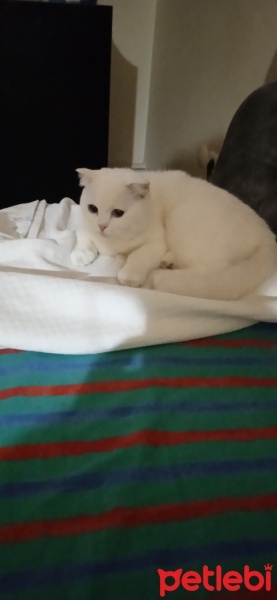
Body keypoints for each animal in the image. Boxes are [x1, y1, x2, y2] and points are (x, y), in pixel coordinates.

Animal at [70, 168, 276, 298]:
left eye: (118, 213)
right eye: (92, 209)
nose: (102, 226)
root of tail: (266, 234)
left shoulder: (157, 241)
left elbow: (139, 255)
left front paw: (130, 275)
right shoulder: (84, 225)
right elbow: (84, 239)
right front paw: (81, 254)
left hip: (183, 222)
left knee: (210, 272)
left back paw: (162, 270)